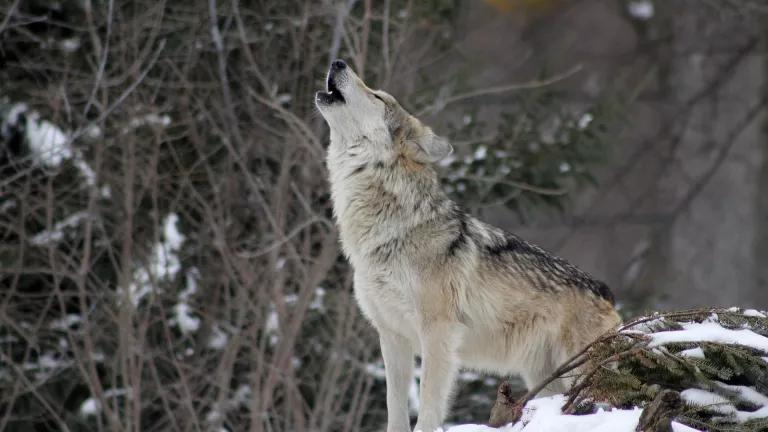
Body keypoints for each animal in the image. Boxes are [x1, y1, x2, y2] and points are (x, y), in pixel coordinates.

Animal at [315, 60, 621, 432]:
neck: (388, 230)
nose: (338, 62)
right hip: (545, 377)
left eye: (377, 96)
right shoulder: (392, 336)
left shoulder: (438, 334)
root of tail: (606, 291)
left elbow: (428, 407)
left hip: (578, 373)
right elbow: (395, 408)